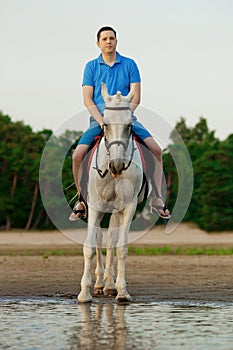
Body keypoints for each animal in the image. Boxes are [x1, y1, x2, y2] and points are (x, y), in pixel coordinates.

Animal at [78, 83, 144, 302]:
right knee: (99, 240)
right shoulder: (95, 206)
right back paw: (99, 284)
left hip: (115, 210)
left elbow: (121, 247)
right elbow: (90, 246)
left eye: (129, 126)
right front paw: (84, 293)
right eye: (105, 124)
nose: (116, 165)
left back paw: (108, 285)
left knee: (110, 242)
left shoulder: (128, 206)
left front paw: (122, 291)